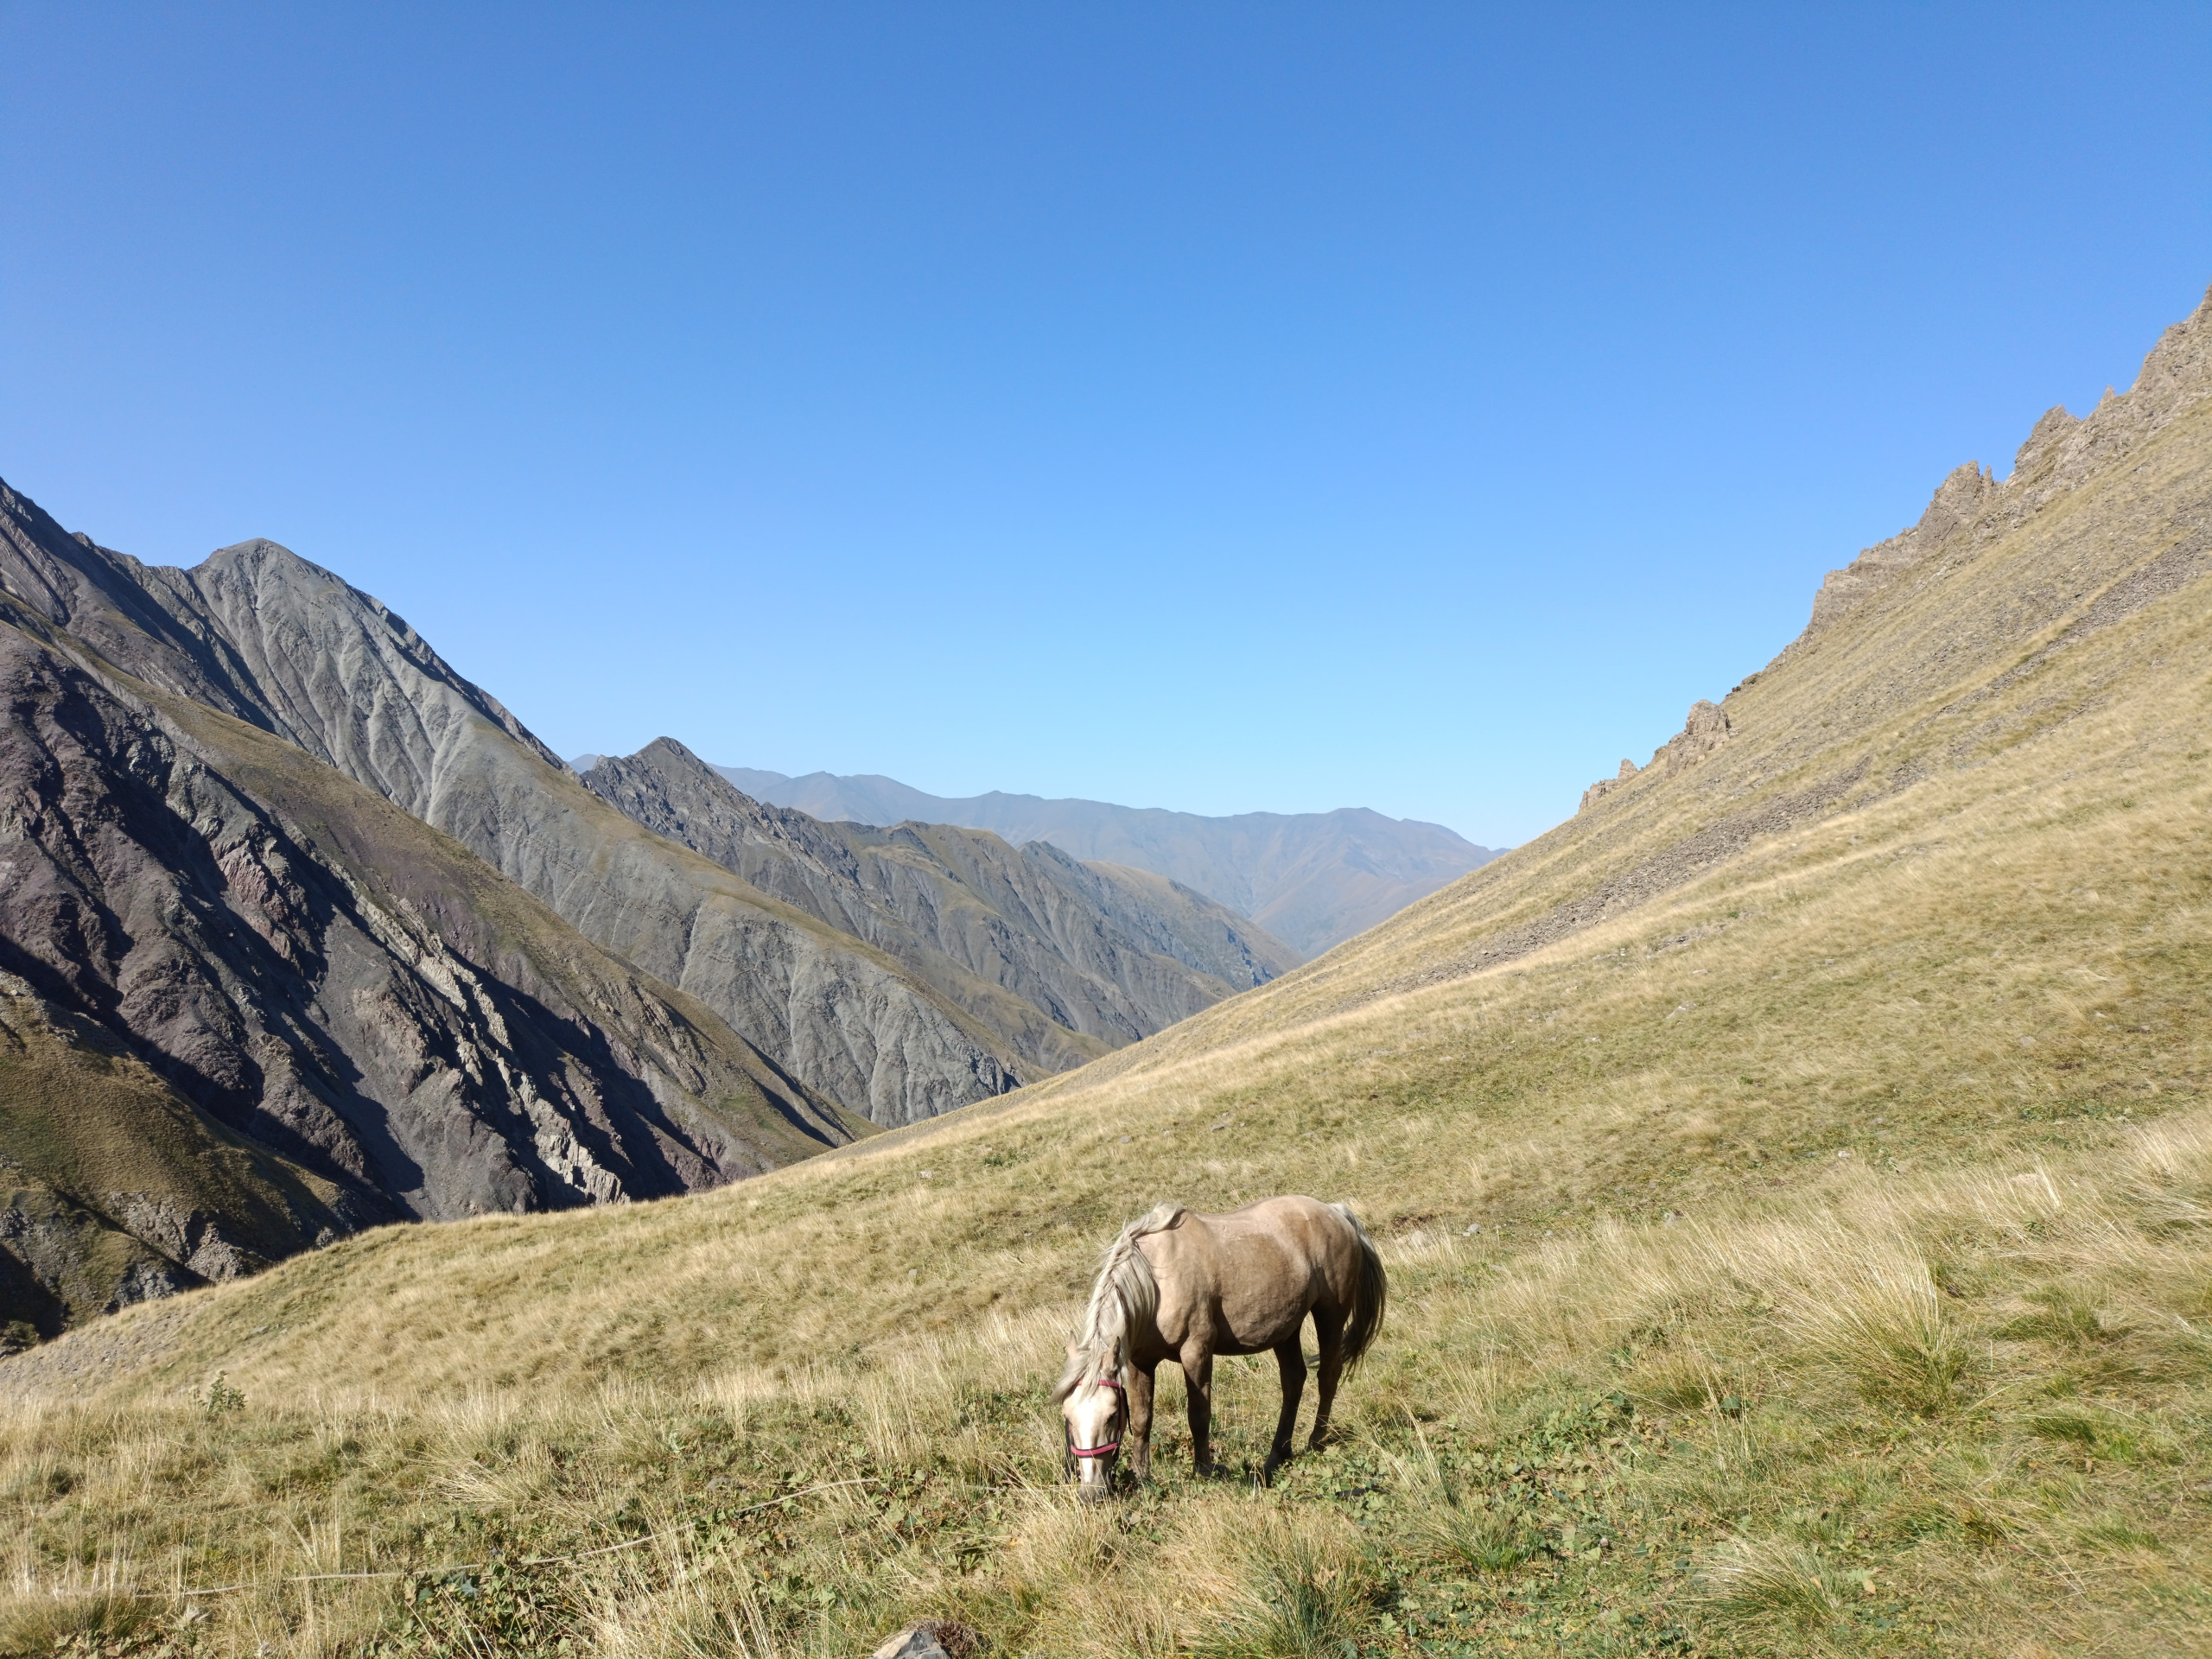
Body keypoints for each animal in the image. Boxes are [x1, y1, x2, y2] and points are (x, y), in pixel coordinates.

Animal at [1053, 1195, 1386, 1499]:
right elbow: (1141, 1419)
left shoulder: (1196, 1351)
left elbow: (1199, 1415)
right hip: (1286, 1329)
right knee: (1293, 1381)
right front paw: (1142, 1476)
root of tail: (1335, 1212)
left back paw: (1315, 1442)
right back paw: (1277, 1456)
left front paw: (1203, 1470)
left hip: (1331, 1314)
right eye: (1068, 1417)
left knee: (1328, 1375)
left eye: (1111, 1415)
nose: (1091, 1492)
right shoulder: (1140, 1362)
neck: (1157, 1281)